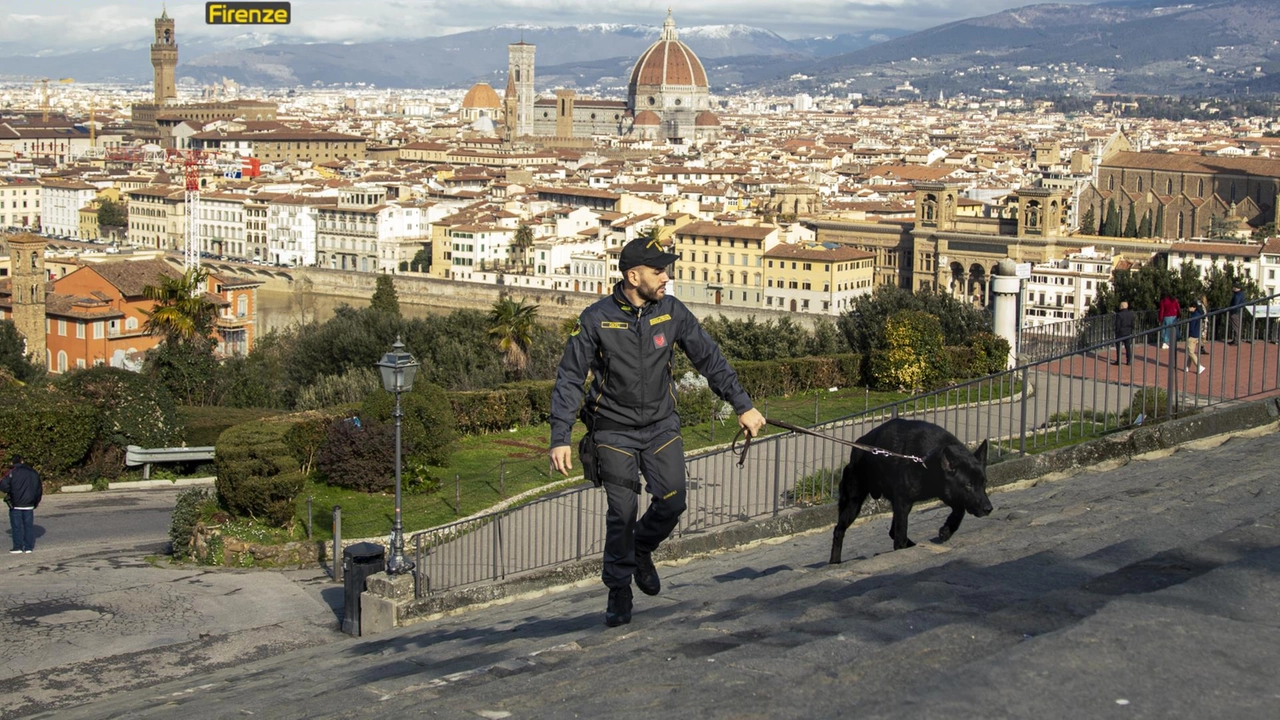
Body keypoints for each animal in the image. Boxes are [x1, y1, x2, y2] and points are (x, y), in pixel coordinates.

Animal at [824, 417, 993, 563]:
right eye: (968, 485)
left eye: (984, 482)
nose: (988, 509)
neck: (928, 461)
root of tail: (857, 448)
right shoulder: (904, 503)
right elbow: (900, 534)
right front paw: (901, 549)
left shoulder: (945, 492)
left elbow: (960, 510)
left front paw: (947, 530)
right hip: (853, 504)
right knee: (839, 530)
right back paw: (835, 561)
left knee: (892, 530)